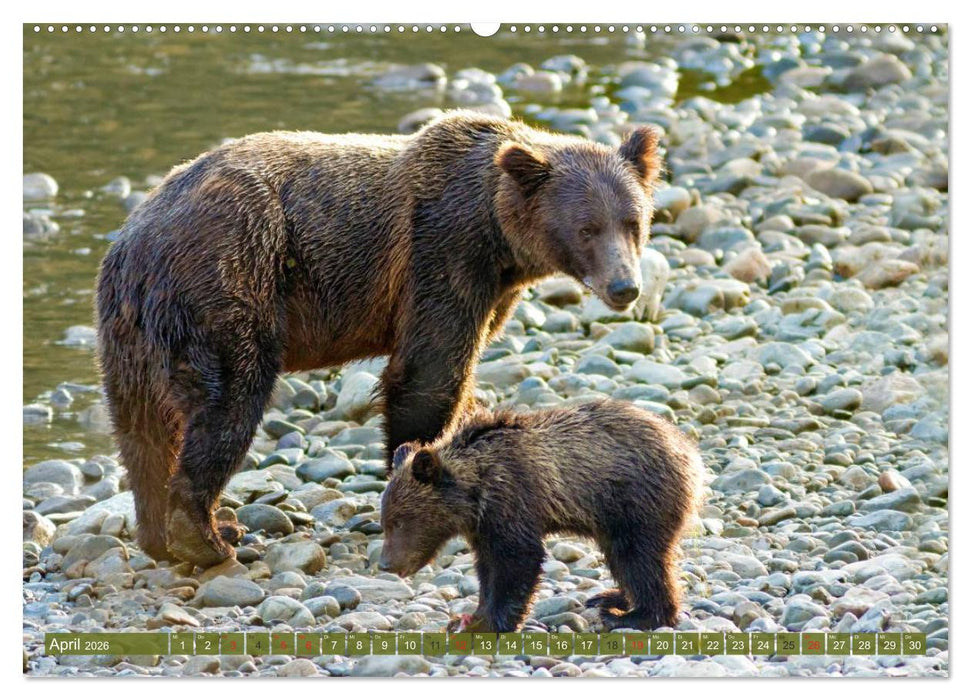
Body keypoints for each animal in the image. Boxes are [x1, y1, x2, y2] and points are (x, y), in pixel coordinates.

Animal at [95, 111, 662, 567]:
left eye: (633, 222)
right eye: (587, 228)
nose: (624, 286)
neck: (500, 239)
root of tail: (137, 241)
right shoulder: (441, 252)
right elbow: (430, 371)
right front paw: (418, 472)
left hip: (131, 334)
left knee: (141, 430)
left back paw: (160, 535)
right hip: (229, 282)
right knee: (227, 404)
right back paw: (208, 537)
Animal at [378, 398, 703, 632]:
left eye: (400, 521)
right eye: (385, 522)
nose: (385, 564)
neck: (476, 492)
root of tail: (688, 450)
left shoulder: (513, 500)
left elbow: (519, 560)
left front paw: (490, 623)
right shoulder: (484, 526)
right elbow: (487, 567)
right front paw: (469, 616)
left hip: (636, 502)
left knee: (639, 558)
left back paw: (632, 615)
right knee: (624, 558)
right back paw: (610, 596)